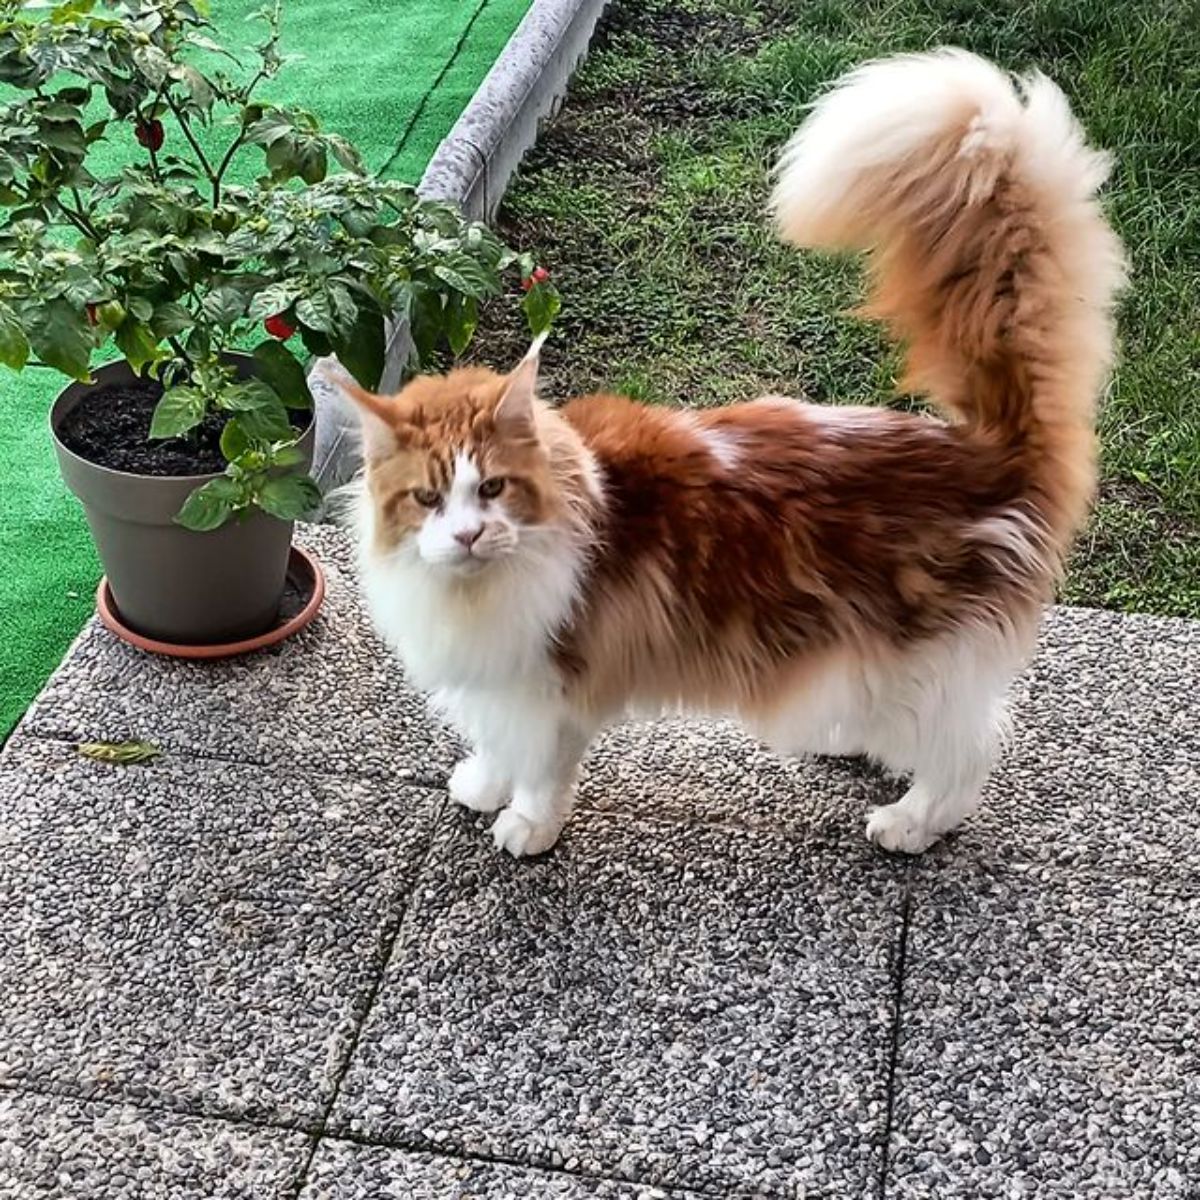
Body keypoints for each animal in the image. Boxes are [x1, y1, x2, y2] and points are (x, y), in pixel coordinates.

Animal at [345, 46, 1123, 854]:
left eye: (494, 488)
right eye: (428, 498)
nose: (468, 536)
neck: (473, 590)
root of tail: (983, 452)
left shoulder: (553, 683)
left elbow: (538, 767)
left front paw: (526, 824)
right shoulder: (499, 679)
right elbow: (496, 744)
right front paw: (481, 784)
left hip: (924, 664)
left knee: (969, 750)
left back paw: (911, 821)